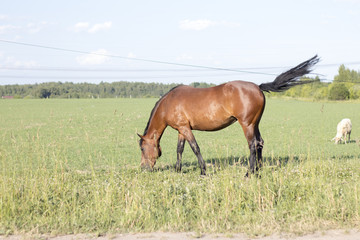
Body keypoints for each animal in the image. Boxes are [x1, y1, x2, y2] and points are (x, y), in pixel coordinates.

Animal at [139, 55, 320, 175]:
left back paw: (249, 173)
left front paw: (203, 171)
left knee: (253, 145)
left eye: (142, 148)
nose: (143, 168)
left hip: (247, 124)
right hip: (255, 124)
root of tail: (258, 87)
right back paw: (258, 170)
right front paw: (178, 170)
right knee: (260, 143)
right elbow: (180, 149)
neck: (169, 103)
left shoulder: (185, 129)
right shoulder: (181, 129)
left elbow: (195, 148)